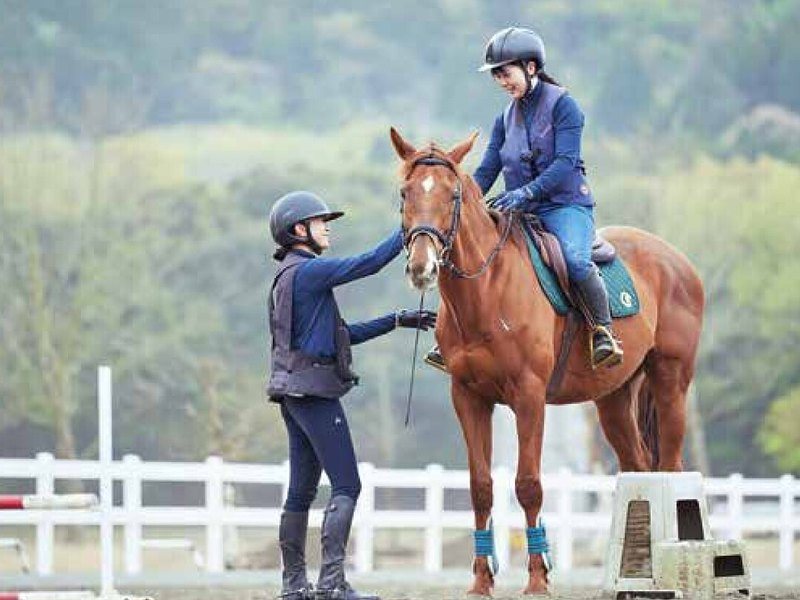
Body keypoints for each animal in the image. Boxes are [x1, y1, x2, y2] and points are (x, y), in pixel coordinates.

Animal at [389, 127, 704, 596]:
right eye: (406, 192)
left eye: (452, 194)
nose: (422, 266)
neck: (487, 289)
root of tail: (675, 258)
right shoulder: (468, 398)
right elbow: (481, 487)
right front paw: (481, 580)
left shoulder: (529, 397)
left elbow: (528, 485)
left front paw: (538, 577)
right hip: (613, 402)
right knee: (636, 471)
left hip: (670, 384)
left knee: (669, 467)